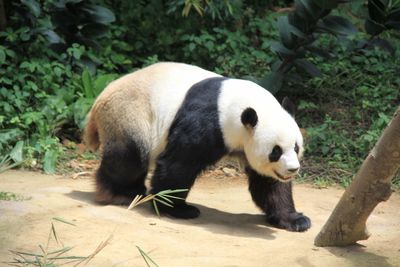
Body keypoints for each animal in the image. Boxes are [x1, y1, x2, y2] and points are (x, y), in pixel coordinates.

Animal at [83, 62, 310, 232]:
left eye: (296, 148)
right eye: (275, 151)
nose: (292, 169)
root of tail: (99, 100)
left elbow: (268, 183)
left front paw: (295, 220)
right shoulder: (208, 121)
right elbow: (178, 164)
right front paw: (177, 209)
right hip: (130, 115)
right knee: (129, 159)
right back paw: (121, 193)